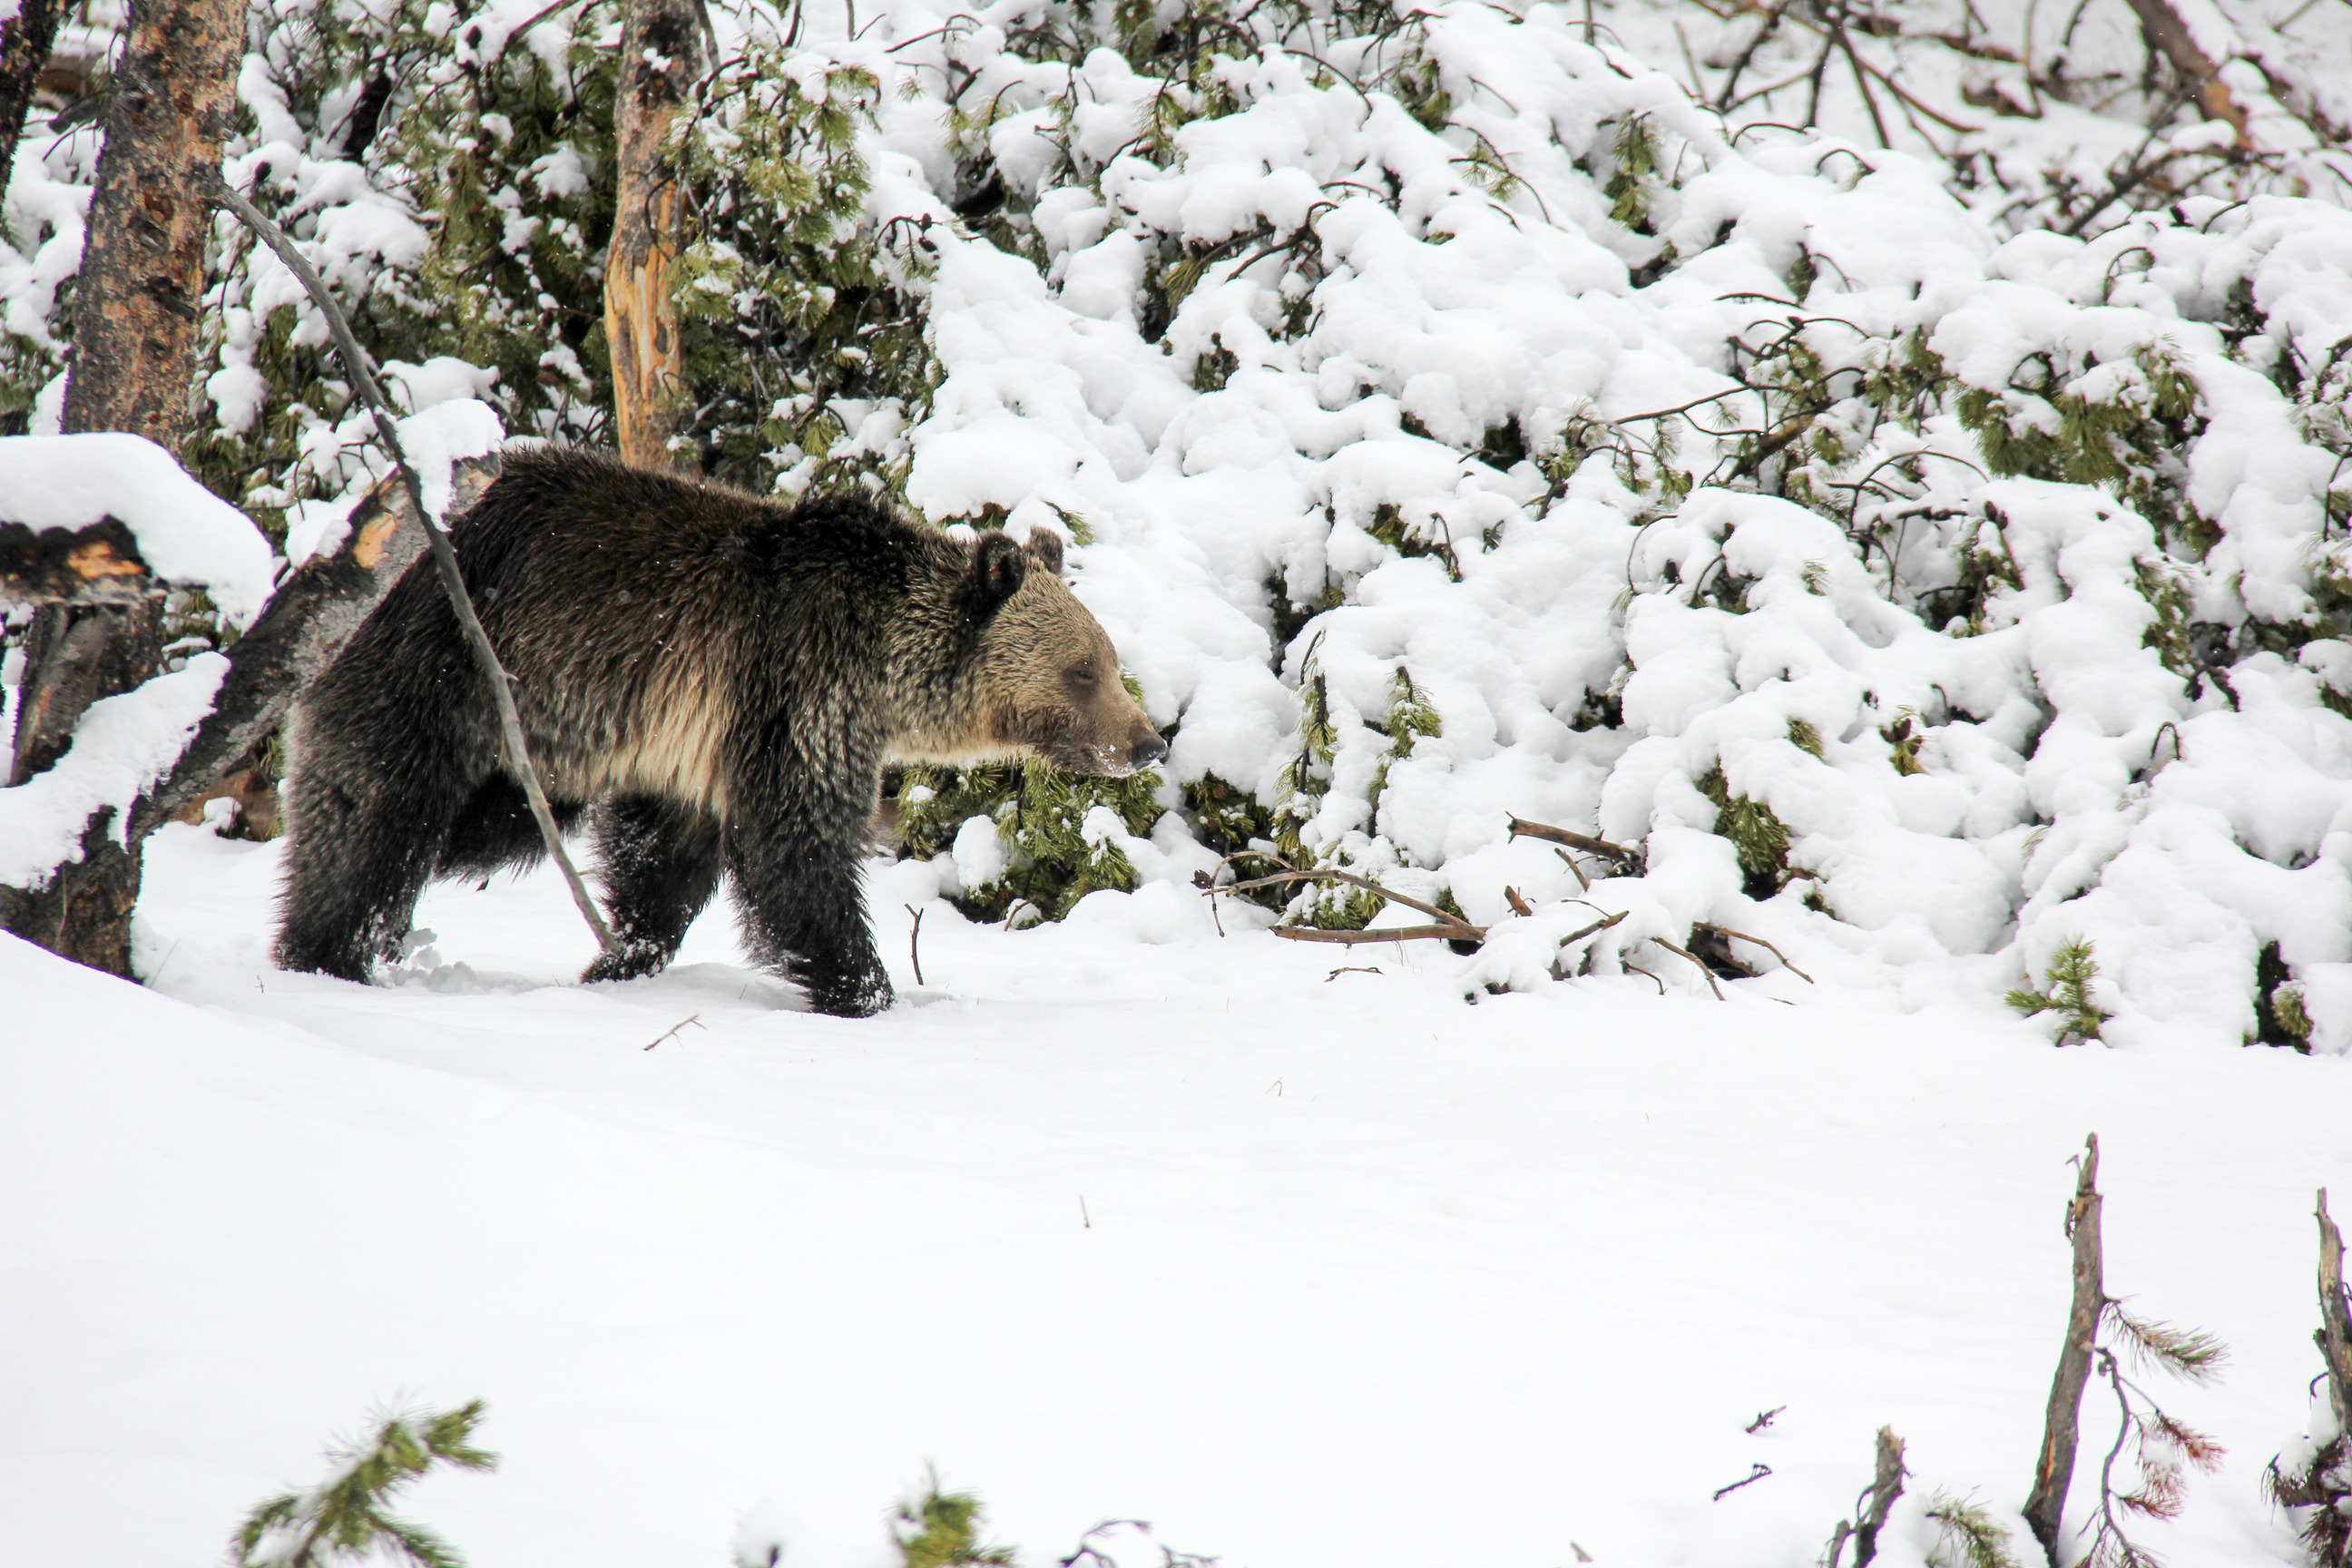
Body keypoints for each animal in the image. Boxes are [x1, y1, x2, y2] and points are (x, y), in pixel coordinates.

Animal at [274, 448, 1165, 1016]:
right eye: (1083, 669)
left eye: (1110, 660)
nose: (1148, 742)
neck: (887, 667)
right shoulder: (800, 687)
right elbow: (797, 852)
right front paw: (865, 988)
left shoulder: (690, 750)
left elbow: (664, 866)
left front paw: (621, 958)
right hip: (455, 668)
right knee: (373, 816)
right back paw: (326, 953)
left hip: (531, 757)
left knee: (478, 830)